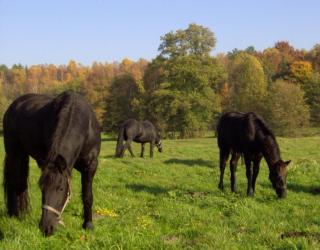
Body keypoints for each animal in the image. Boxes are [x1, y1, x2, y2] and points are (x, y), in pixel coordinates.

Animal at [2, 91, 100, 235]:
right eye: (41, 189)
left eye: (60, 188)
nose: (46, 228)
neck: (85, 126)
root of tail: (12, 107)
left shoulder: (91, 166)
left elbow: (88, 196)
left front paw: (88, 225)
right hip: (15, 154)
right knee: (15, 183)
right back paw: (15, 215)